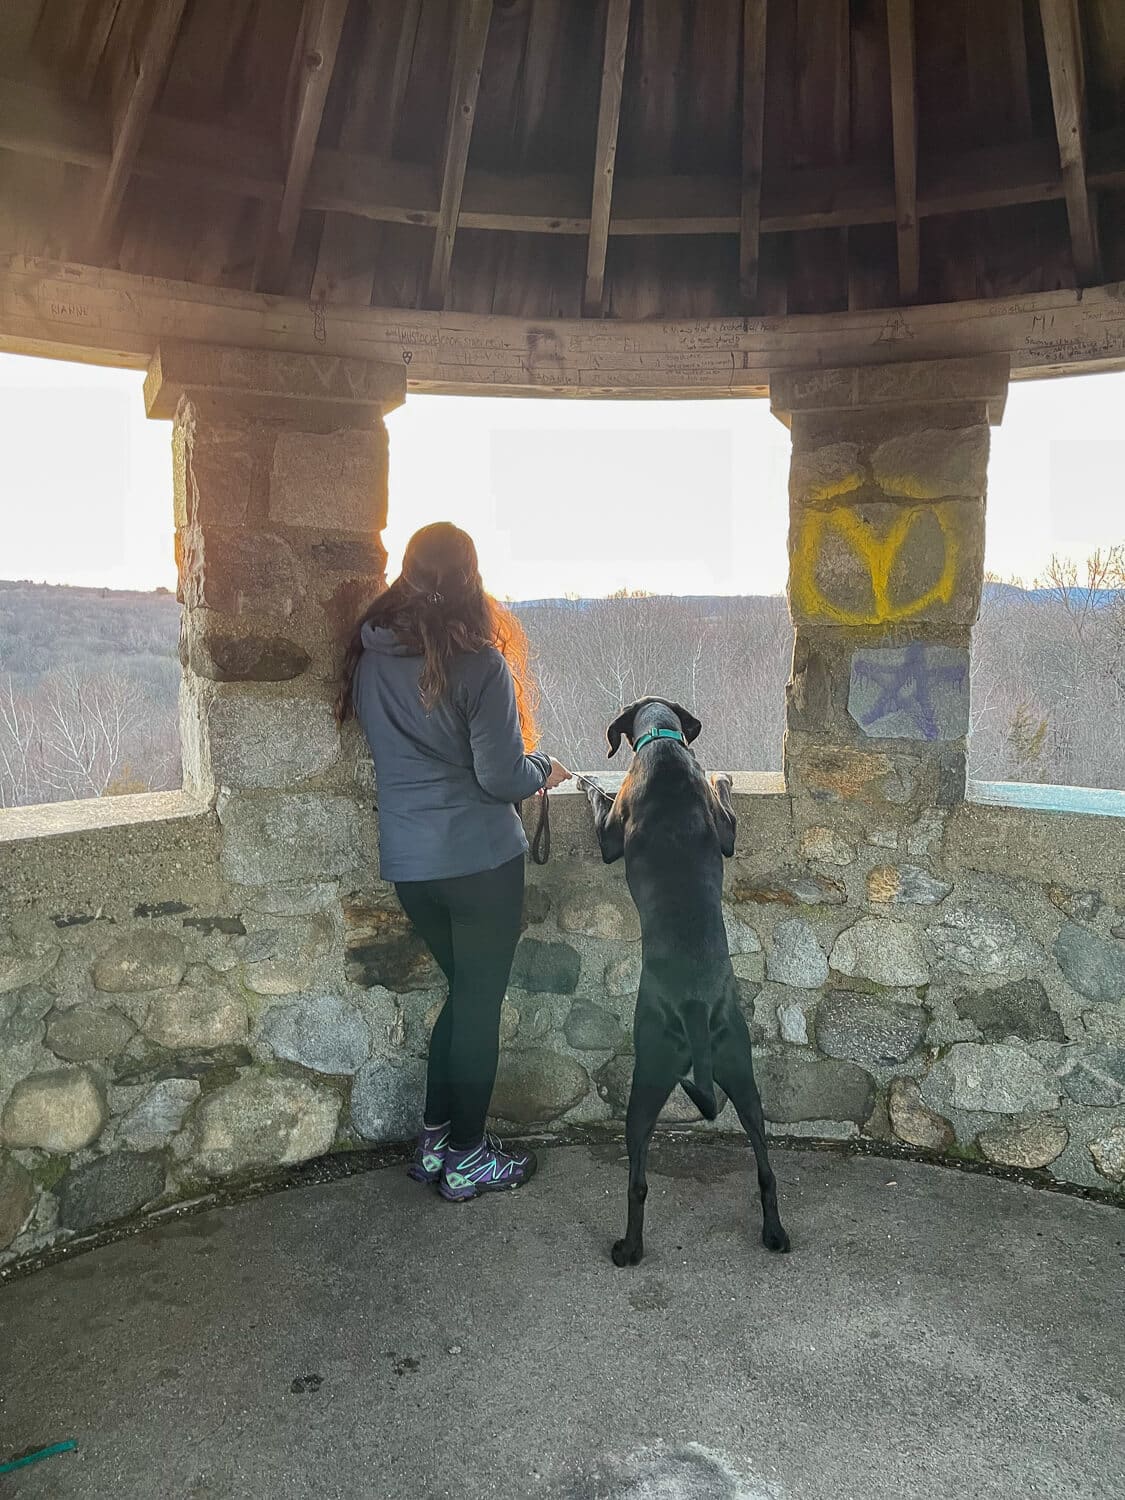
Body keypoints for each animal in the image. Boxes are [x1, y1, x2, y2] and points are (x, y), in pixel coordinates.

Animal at [585, 699, 786, 1266]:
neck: (664, 742)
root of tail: (695, 1009)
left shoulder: (612, 834)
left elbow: (602, 813)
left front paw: (592, 788)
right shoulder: (726, 834)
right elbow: (727, 821)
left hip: (649, 1075)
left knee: (637, 1179)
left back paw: (628, 1248)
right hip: (740, 1067)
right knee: (765, 1166)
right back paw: (774, 1232)